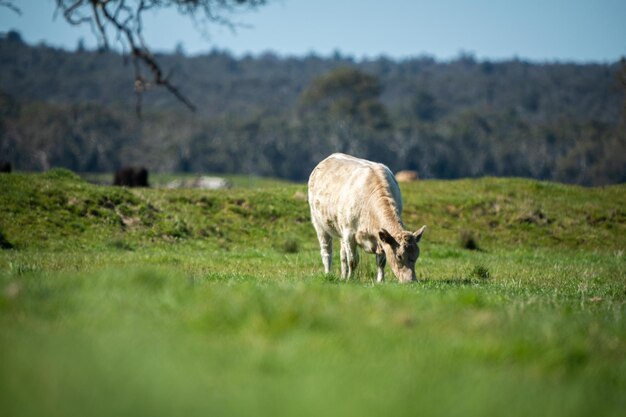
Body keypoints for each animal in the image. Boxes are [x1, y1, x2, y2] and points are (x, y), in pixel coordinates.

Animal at [306, 153, 424, 282]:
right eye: (399, 256)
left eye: (417, 255)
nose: (411, 280)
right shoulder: (349, 234)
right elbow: (353, 260)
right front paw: (350, 279)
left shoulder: (380, 237)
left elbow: (381, 261)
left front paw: (380, 281)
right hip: (319, 224)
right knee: (326, 251)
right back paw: (328, 274)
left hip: (341, 229)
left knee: (342, 254)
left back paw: (343, 276)